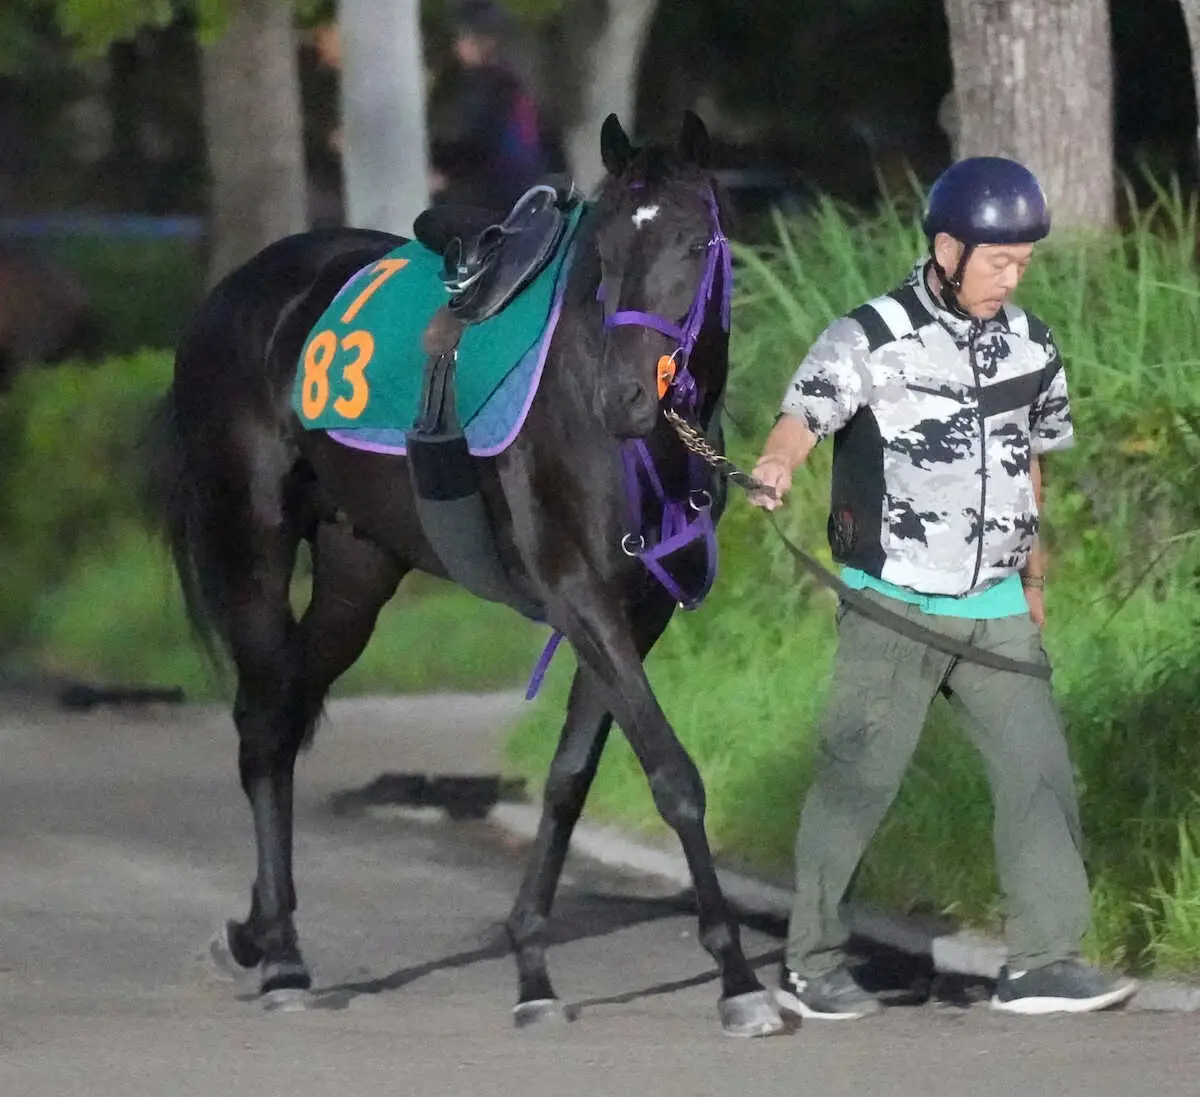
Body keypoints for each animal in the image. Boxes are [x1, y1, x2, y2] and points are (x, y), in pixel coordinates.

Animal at [147, 109, 787, 1036]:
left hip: (357, 572)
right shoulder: (580, 596)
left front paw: (533, 968)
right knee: (264, 723)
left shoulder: (631, 614)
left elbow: (569, 780)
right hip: (250, 545)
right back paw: (283, 958)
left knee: (285, 710)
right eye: (605, 252)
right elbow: (672, 776)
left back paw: (258, 931)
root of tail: (231, 298)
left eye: (695, 241)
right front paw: (738, 979)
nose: (627, 398)